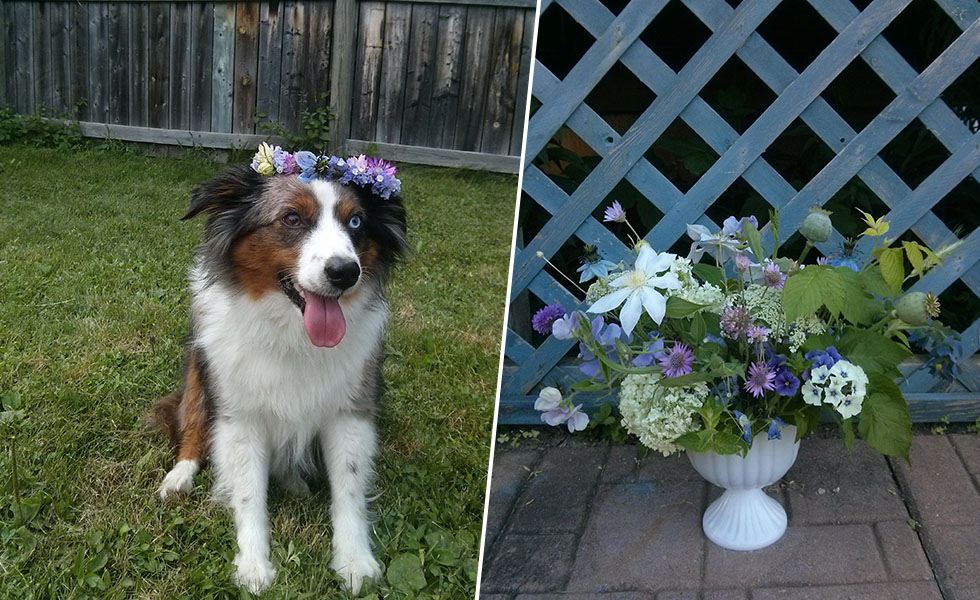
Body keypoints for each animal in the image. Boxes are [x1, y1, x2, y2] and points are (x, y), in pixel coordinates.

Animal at [148, 161, 406, 596]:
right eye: (292, 218)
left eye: (355, 221)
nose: (345, 272)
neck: (293, 334)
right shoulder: (241, 416)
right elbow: (249, 493)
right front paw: (253, 565)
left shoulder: (350, 412)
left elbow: (349, 488)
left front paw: (354, 561)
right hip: (200, 369)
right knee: (194, 423)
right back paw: (180, 475)